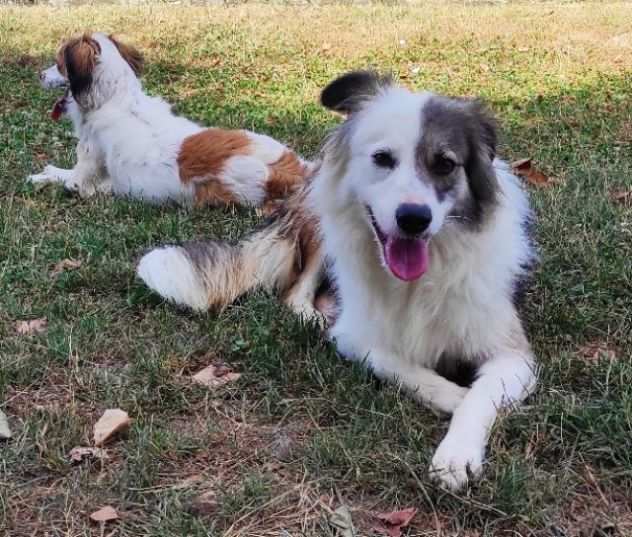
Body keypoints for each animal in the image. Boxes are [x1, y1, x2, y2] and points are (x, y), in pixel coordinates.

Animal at [29, 32, 312, 206]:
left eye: (58, 63)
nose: (40, 75)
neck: (115, 98)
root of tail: (295, 173)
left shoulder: (83, 177)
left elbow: (65, 178)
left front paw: (43, 175)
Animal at [138, 71, 540, 490]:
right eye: (382, 158)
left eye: (445, 164)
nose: (414, 218)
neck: (417, 281)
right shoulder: (355, 338)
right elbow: (399, 366)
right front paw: (454, 395)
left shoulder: (512, 354)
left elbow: (481, 395)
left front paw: (457, 453)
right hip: (322, 226)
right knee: (296, 292)